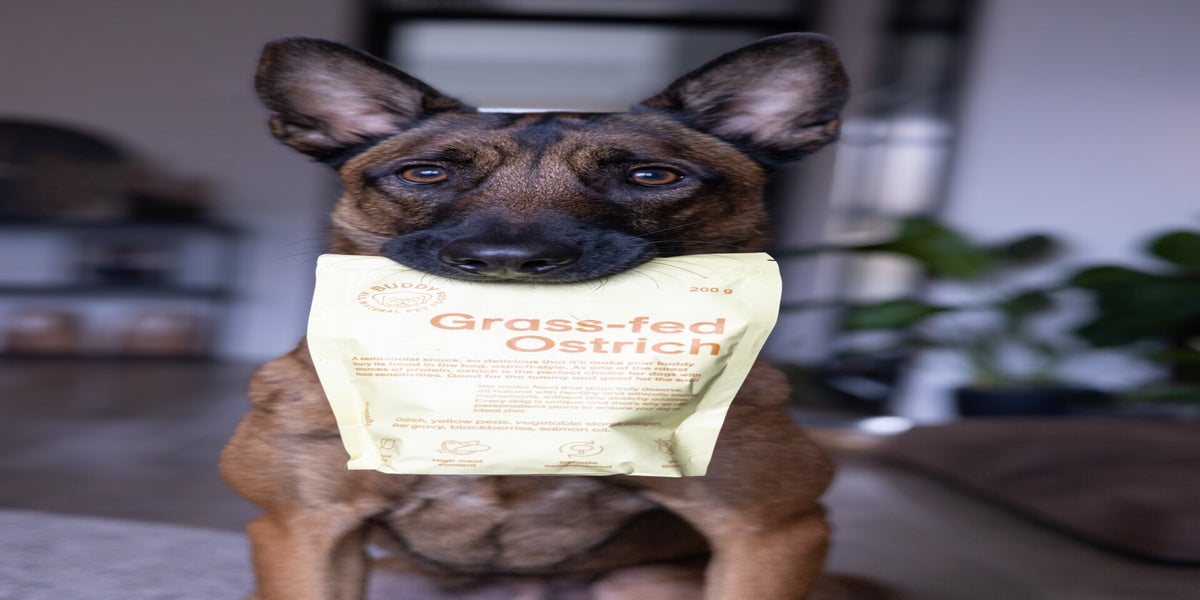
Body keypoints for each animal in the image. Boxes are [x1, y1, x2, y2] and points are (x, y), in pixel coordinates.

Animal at [221, 32, 850, 599]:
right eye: (424, 174)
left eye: (652, 176)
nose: (507, 260)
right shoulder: (305, 532)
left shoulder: (768, 531)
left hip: (636, 582)